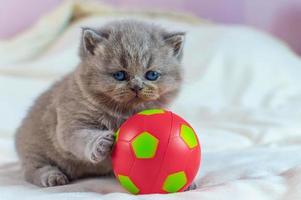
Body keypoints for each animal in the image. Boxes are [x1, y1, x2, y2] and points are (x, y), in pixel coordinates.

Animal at [15, 19, 184, 188]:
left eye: (152, 75)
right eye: (119, 75)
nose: (136, 86)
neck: (122, 113)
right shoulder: (71, 123)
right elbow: (81, 137)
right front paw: (101, 142)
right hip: (34, 148)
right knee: (32, 170)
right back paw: (53, 176)